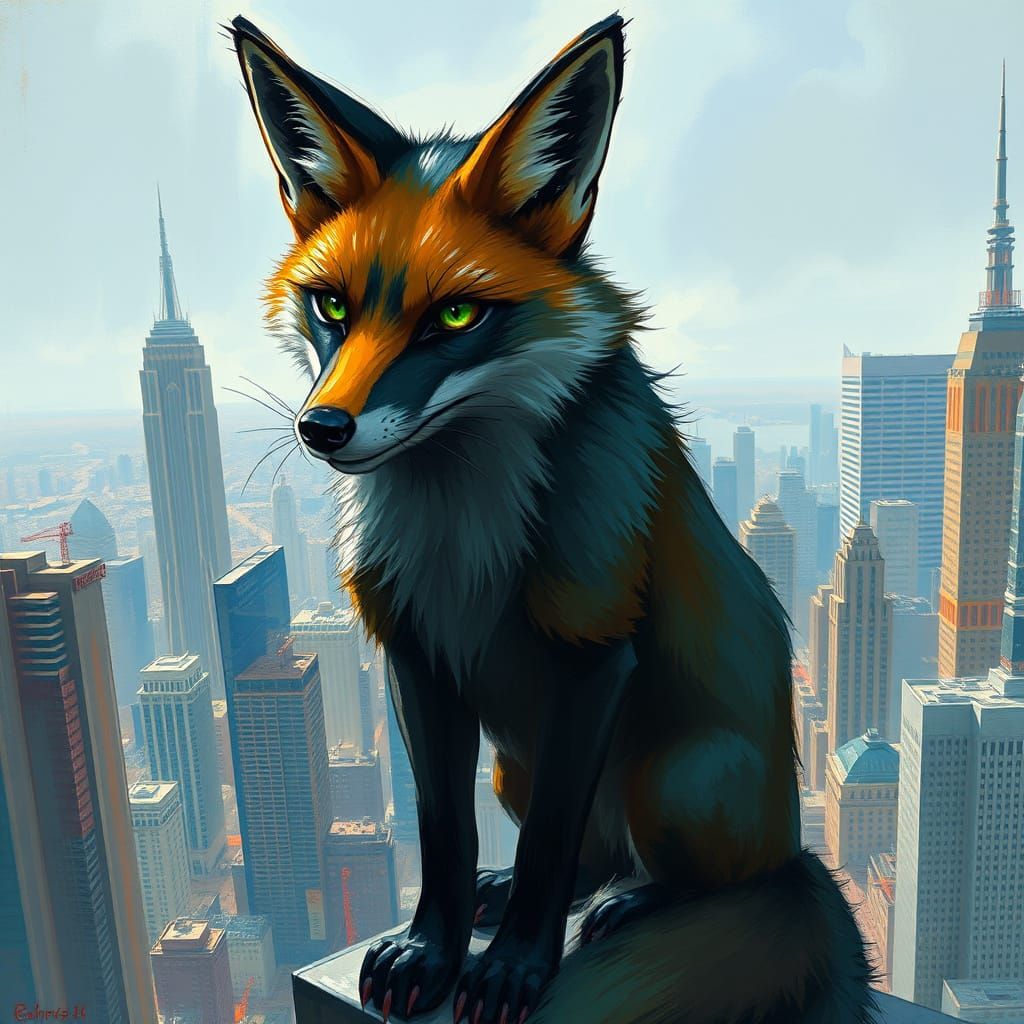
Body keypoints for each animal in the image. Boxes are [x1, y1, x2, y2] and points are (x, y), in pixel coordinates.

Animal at [231, 13, 875, 1024]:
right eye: (330, 304)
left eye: (457, 316)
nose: (322, 428)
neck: (457, 536)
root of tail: (794, 833)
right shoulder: (415, 658)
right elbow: (447, 837)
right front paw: (432, 950)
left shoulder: (592, 651)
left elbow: (544, 852)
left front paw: (511, 971)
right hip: (515, 765)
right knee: (592, 851)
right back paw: (535, 895)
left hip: (676, 777)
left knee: (698, 876)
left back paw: (633, 902)